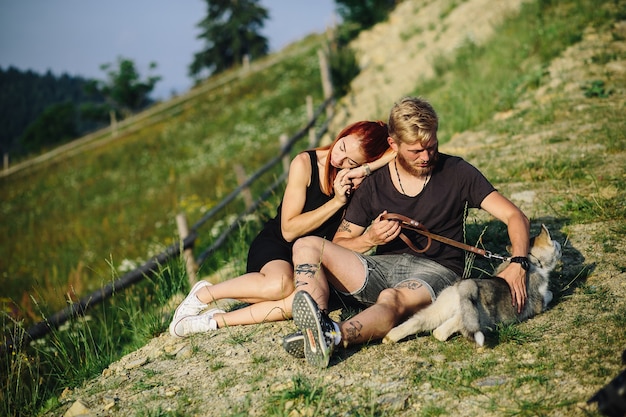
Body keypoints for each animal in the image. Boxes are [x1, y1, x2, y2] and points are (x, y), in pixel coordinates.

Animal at [382, 224, 560, 344]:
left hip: (437, 309)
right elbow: (550, 294)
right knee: (443, 330)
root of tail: (465, 286)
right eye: (555, 243)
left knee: (419, 322)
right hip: (475, 315)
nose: (559, 245)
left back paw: (390, 337)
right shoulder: (539, 300)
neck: (532, 261)